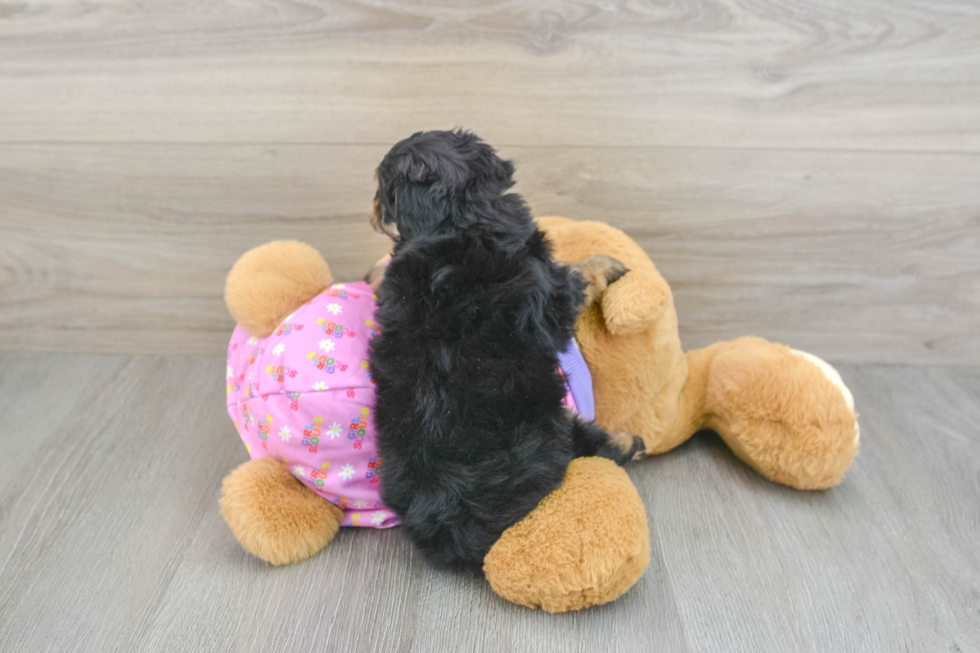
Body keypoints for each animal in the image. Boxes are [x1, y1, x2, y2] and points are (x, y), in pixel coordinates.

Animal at [368, 130, 644, 572]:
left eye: (382, 189)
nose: (373, 210)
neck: (461, 222)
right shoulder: (551, 294)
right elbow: (577, 275)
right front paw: (605, 264)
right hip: (551, 428)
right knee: (590, 445)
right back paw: (629, 442)